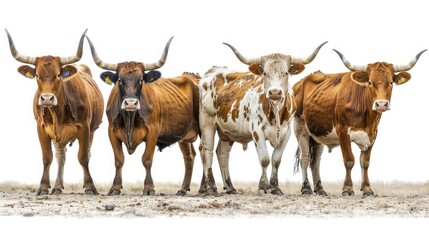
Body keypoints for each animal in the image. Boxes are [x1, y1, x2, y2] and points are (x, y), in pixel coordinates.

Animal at [6, 29, 104, 195]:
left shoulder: (84, 127)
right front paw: (43, 187)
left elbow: (83, 157)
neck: (57, 112)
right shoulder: (41, 128)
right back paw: (57, 186)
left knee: (87, 153)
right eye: (37, 75)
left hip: (92, 131)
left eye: (58, 75)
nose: (47, 98)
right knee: (60, 157)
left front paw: (90, 187)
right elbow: (47, 158)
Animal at [199, 41, 326, 195]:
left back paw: (230, 187)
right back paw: (211, 187)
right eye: (265, 73)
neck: (275, 111)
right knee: (207, 151)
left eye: (286, 73)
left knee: (222, 154)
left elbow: (276, 159)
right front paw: (263, 186)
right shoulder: (257, 131)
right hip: (207, 123)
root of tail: (212, 72)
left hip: (227, 131)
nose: (275, 92)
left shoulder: (286, 132)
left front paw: (275, 187)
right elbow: (265, 158)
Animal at [292, 48, 422, 195]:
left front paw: (367, 189)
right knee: (305, 157)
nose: (381, 104)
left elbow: (365, 162)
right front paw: (347, 189)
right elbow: (349, 160)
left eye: (390, 82)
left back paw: (320, 189)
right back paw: (306, 188)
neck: (367, 119)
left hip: (318, 133)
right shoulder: (343, 132)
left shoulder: (372, 134)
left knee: (315, 161)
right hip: (300, 128)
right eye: (370, 82)